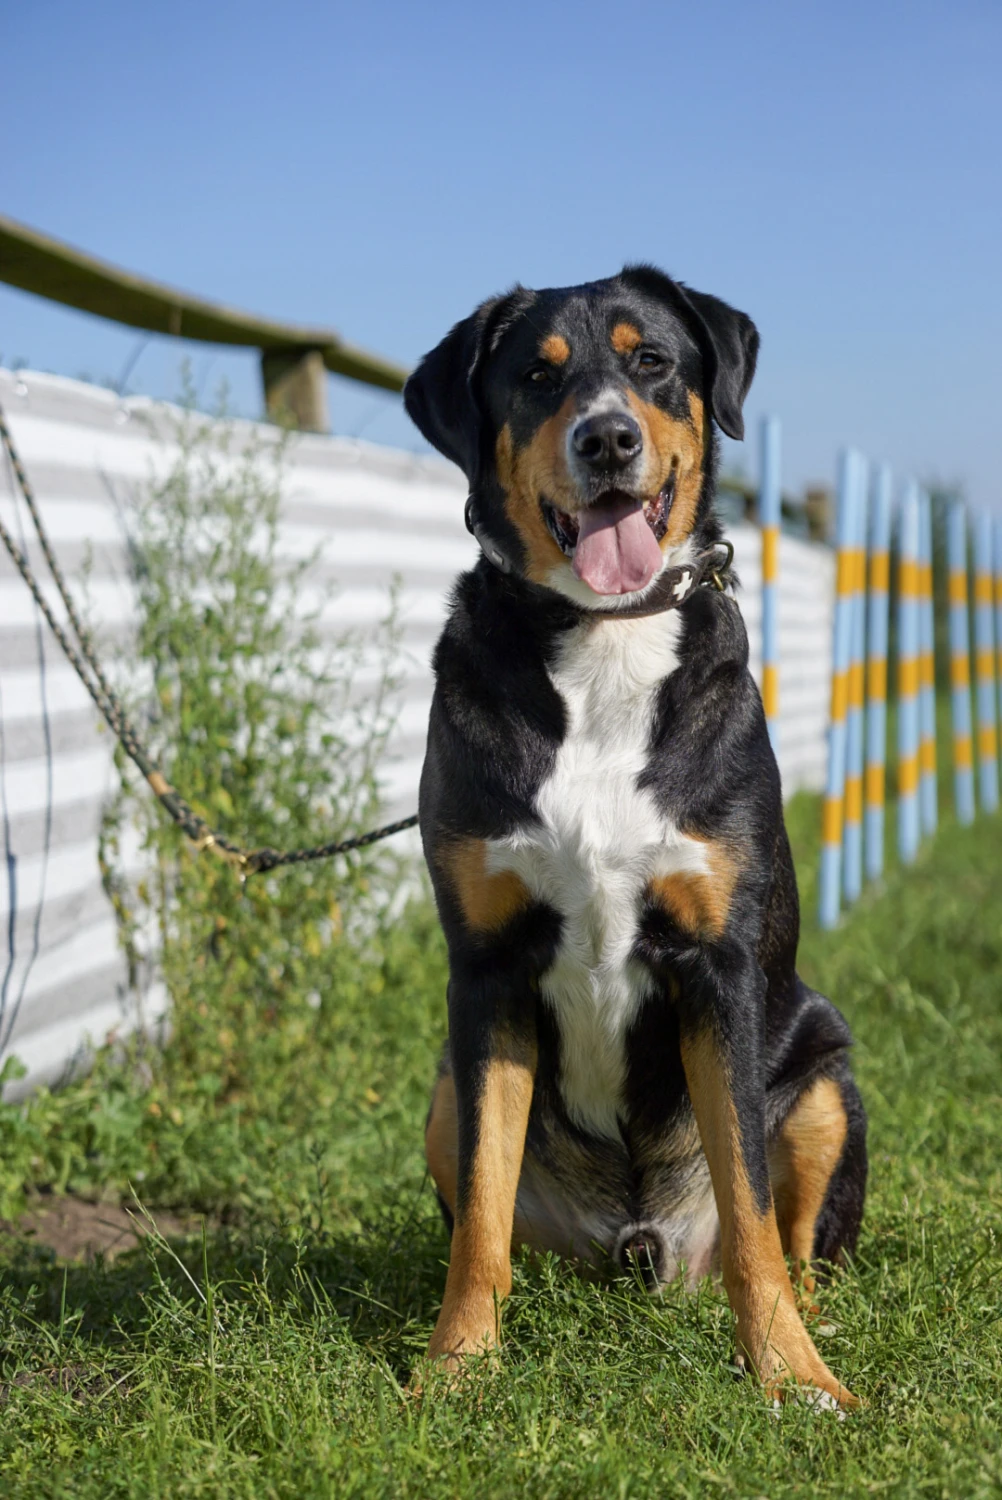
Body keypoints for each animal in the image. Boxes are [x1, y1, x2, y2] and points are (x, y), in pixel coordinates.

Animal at [402, 267, 864, 1404]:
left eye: (651, 361)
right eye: (537, 377)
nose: (607, 438)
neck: (606, 643)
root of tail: (639, 1246)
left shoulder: (719, 966)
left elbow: (751, 1209)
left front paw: (791, 1377)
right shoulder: (486, 973)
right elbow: (480, 1211)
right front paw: (458, 1366)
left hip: (827, 1072)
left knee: (798, 1242)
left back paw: (818, 1322)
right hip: (440, 1088)